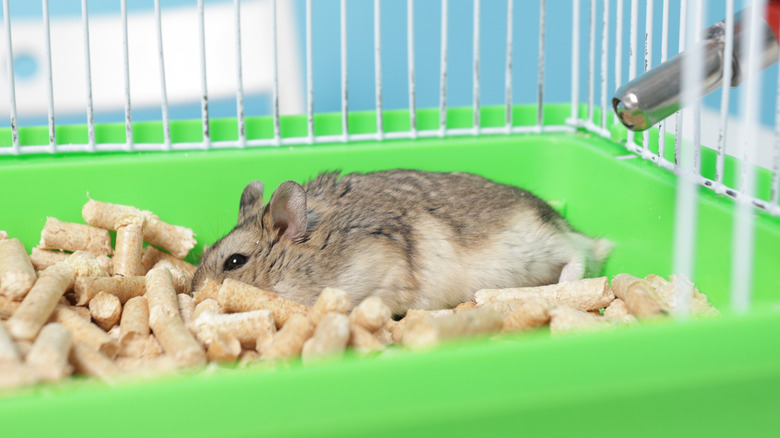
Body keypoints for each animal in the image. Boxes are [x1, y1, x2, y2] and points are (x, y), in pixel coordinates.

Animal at [192, 169, 612, 316]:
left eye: (234, 262)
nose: (194, 294)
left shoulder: (375, 271)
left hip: (532, 247)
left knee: (577, 254)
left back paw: (566, 287)